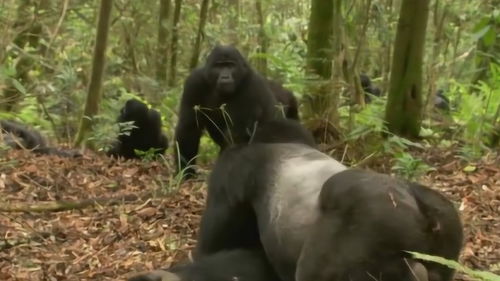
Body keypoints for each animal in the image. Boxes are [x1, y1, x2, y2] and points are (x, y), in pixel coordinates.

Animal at [174, 45, 284, 177]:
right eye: (219, 66)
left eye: (231, 65)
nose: (225, 77)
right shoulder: (194, 82)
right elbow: (189, 127)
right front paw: (185, 171)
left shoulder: (253, 84)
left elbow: (236, 136)